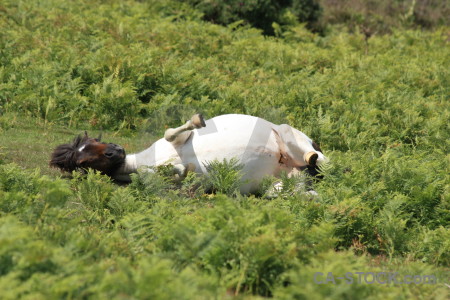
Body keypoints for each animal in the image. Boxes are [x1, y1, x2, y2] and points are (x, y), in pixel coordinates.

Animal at [50, 113, 326, 195]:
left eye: (95, 140)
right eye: (84, 160)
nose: (115, 150)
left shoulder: (180, 140)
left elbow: (172, 132)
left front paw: (197, 120)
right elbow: (175, 174)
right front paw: (179, 169)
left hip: (288, 135)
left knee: (318, 158)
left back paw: (314, 160)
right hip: (281, 185)